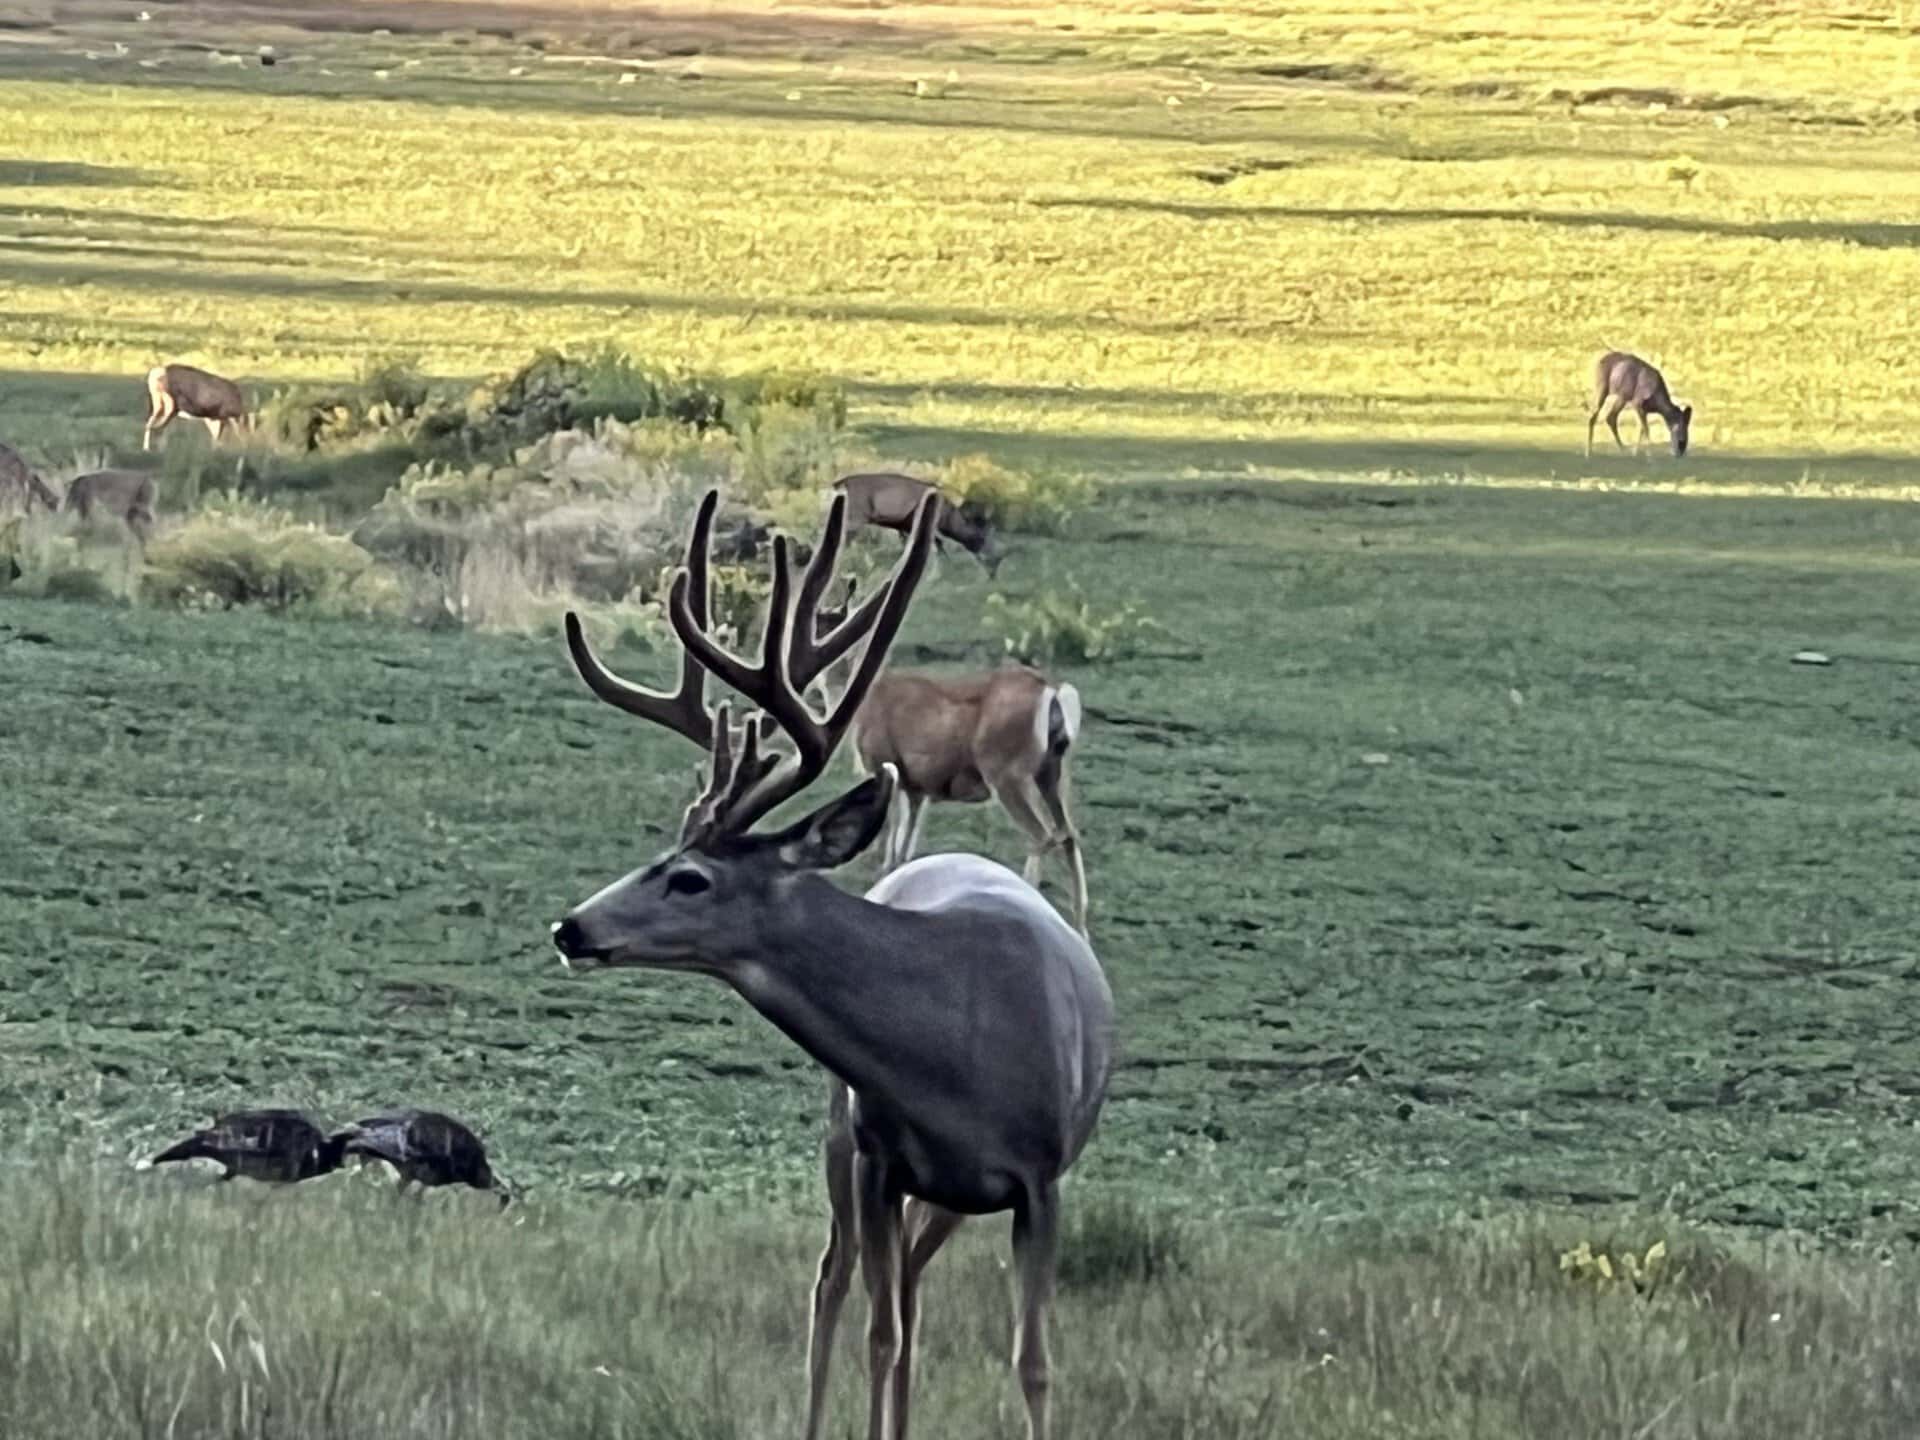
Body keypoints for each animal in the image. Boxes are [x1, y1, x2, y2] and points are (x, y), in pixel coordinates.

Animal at [834, 471, 1004, 578]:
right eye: (981, 539)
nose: (993, 574)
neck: (947, 517)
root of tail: (837, 484)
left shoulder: (904, 526)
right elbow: (936, 545)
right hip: (856, 517)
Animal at [851, 666, 1088, 939]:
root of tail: (1051, 690)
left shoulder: (882, 762)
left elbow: (889, 826)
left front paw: (881, 872)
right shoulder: (916, 785)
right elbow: (907, 832)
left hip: (1007, 773)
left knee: (1043, 836)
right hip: (1052, 772)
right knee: (1068, 835)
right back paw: (1079, 930)